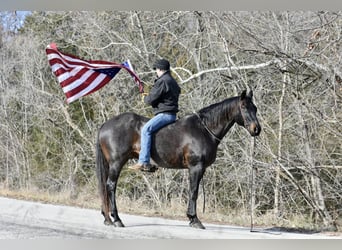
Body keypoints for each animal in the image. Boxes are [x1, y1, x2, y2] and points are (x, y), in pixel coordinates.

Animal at [95, 89, 260, 229]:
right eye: (244, 106)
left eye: (255, 108)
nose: (256, 129)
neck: (204, 129)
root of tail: (105, 125)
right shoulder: (196, 167)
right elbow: (193, 191)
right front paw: (194, 219)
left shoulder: (199, 169)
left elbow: (193, 191)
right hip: (116, 163)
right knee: (110, 186)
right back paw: (117, 219)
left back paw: (108, 218)